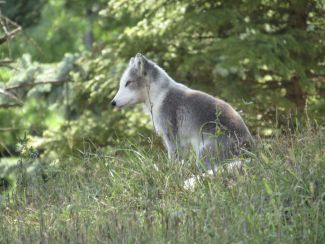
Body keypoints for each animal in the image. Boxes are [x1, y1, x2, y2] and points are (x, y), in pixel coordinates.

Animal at [111, 53, 253, 172]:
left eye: (128, 83)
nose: (112, 102)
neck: (159, 95)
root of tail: (252, 152)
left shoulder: (171, 136)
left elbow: (174, 159)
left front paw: (171, 173)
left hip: (203, 153)